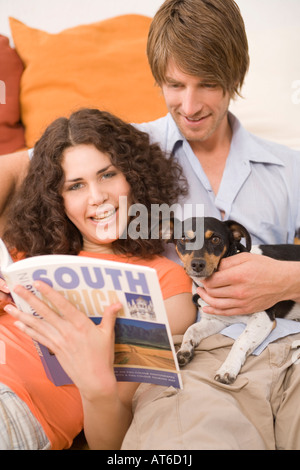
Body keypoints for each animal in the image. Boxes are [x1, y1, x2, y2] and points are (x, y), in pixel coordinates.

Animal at [168, 218, 300, 384]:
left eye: (215, 239)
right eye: (183, 239)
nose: (197, 264)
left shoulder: (263, 318)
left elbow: (240, 341)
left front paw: (228, 368)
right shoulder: (216, 320)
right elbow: (191, 329)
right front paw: (184, 349)